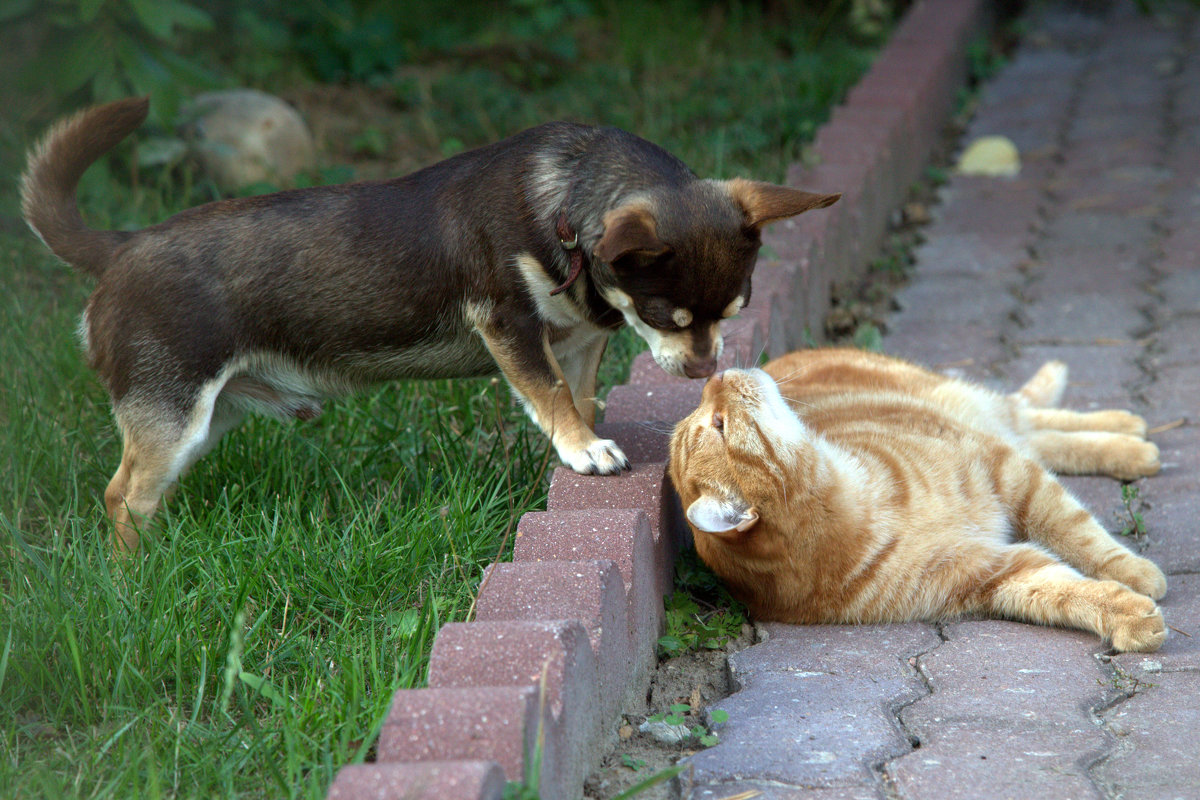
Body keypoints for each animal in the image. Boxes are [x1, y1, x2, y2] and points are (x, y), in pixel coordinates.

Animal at [21, 97, 844, 551]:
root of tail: (122, 247)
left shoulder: (579, 339)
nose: (704, 367)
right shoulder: (509, 326)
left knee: (142, 491)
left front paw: (581, 440)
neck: (561, 208)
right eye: (662, 317)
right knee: (122, 495)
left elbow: (575, 393)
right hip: (173, 413)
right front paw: (583, 450)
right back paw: (136, 575)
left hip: (206, 418)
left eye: (732, 313)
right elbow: (548, 394)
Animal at [667, 347, 1161, 652]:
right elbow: (1065, 591)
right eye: (717, 424)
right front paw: (1128, 612)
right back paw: (1134, 444)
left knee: (1027, 418)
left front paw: (1133, 572)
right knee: (1036, 433)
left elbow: (1078, 533)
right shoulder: (993, 572)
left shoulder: (1008, 473)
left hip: (961, 406)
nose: (714, 375)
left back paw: (1130, 433)